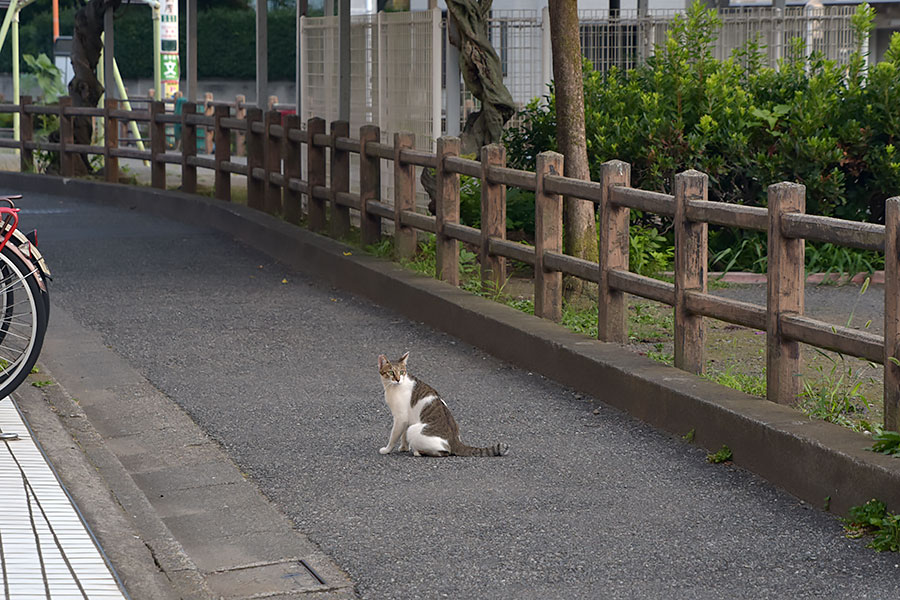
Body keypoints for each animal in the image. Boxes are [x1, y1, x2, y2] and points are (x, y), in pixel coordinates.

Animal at [376, 352, 510, 460]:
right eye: (391, 372)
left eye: (402, 372)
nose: (398, 379)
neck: (392, 387)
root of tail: (455, 440)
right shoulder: (406, 419)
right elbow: (403, 436)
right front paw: (403, 447)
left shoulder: (400, 418)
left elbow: (394, 436)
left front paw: (387, 450)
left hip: (414, 430)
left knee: (445, 452)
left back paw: (418, 452)